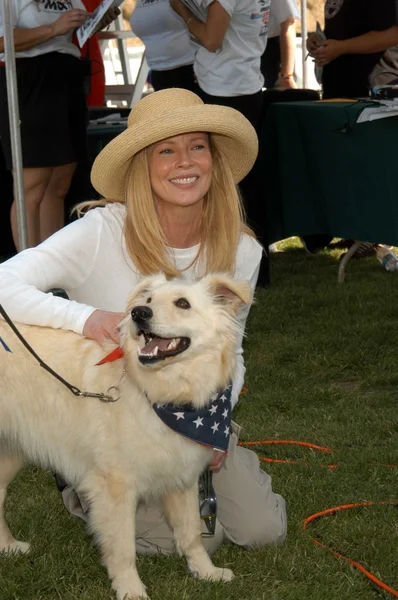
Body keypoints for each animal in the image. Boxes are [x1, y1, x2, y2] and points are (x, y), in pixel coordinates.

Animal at [0, 274, 250, 600]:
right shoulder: (115, 489)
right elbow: (123, 548)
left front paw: (206, 572)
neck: (165, 395)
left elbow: (192, 533)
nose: (138, 314)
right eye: (148, 301)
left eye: (183, 303)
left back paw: (8, 547)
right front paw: (130, 589)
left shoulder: (182, 479)